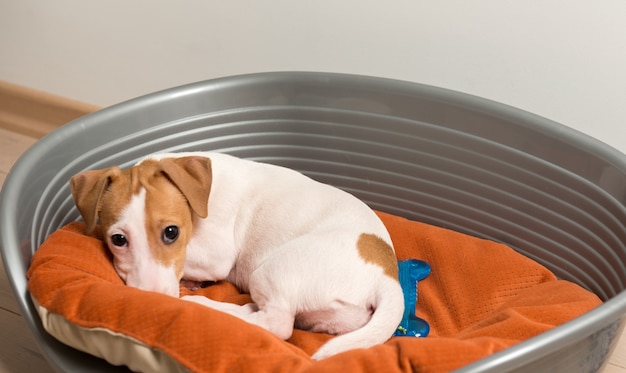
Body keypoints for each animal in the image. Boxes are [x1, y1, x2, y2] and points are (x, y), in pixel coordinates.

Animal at [68, 150, 400, 358]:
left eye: (171, 232)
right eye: (118, 239)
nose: (153, 301)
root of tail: (387, 277)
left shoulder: (216, 254)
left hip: (272, 270)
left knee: (276, 323)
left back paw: (207, 305)